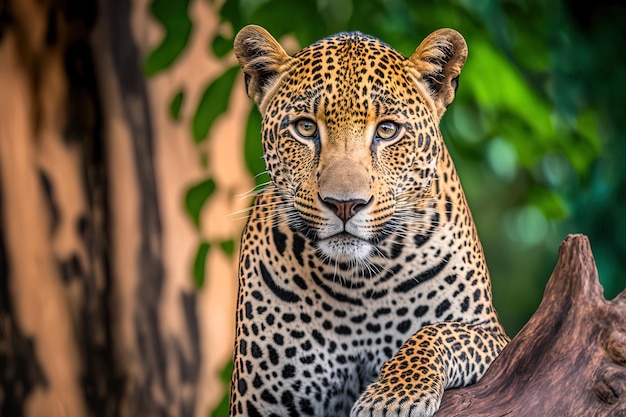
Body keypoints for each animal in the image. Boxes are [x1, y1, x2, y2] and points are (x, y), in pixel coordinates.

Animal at [228, 23, 508, 416]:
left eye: (387, 130)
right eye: (305, 127)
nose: (345, 205)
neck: (357, 283)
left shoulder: (491, 334)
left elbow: (436, 333)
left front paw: (393, 397)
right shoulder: (259, 402)